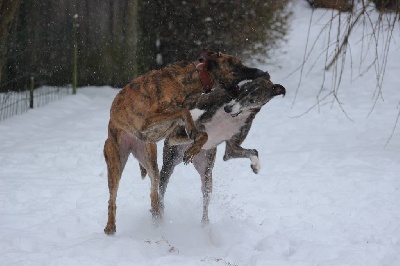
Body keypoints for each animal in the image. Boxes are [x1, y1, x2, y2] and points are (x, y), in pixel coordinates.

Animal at [104, 48, 264, 234]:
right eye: (237, 67)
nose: (261, 73)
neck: (190, 80)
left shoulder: (173, 135)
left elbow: (202, 133)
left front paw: (193, 149)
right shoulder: (149, 121)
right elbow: (183, 110)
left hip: (150, 160)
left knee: (154, 192)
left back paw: (158, 219)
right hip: (116, 161)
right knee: (112, 198)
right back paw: (110, 227)